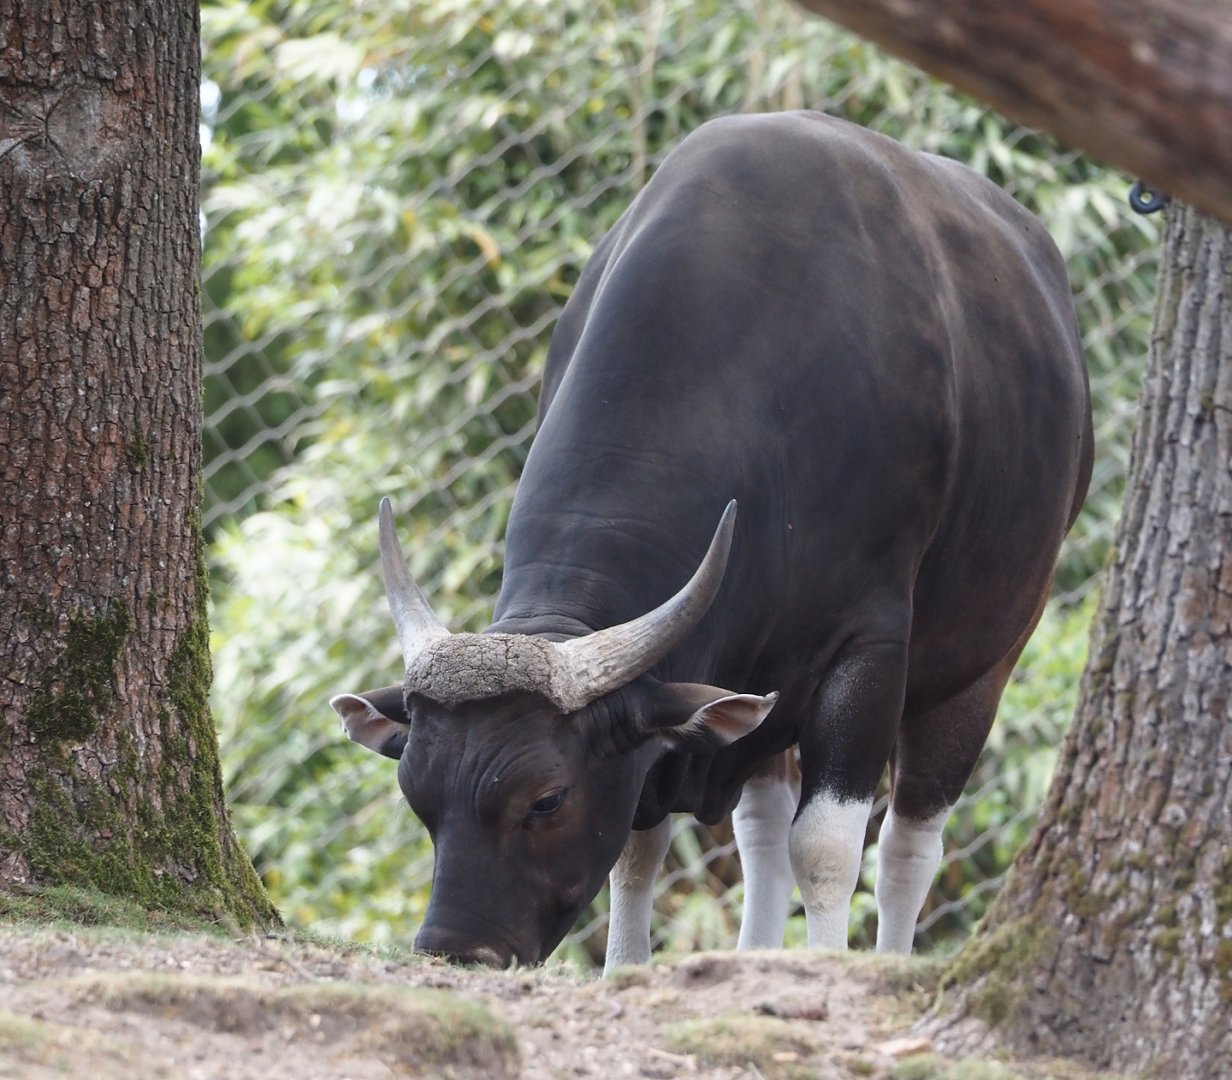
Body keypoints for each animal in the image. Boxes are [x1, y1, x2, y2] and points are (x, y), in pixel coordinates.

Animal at [330, 111, 1093, 973]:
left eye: (547, 799)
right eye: (417, 794)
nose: (456, 950)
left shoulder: (869, 648)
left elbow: (828, 847)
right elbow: (639, 850)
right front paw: (627, 968)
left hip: (985, 660)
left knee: (909, 845)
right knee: (762, 828)